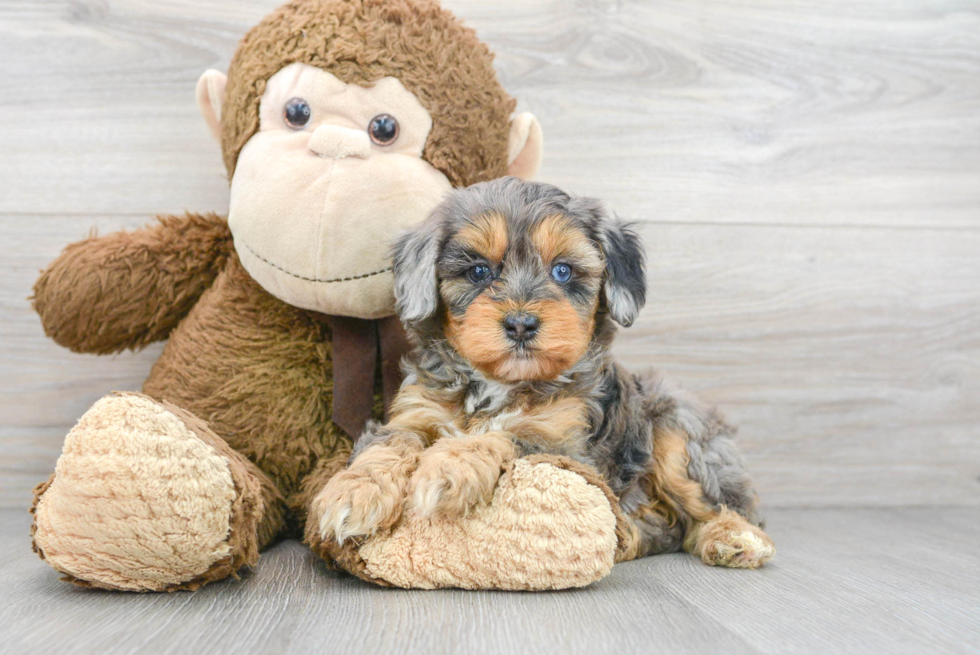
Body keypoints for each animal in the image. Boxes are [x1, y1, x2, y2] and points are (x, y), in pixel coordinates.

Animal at [314, 177, 772, 568]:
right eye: (479, 271)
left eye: (563, 271)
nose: (521, 324)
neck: (498, 384)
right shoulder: (415, 413)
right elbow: (390, 444)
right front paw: (353, 491)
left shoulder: (566, 446)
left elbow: (505, 434)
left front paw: (450, 467)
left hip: (677, 430)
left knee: (715, 506)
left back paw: (732, 538)